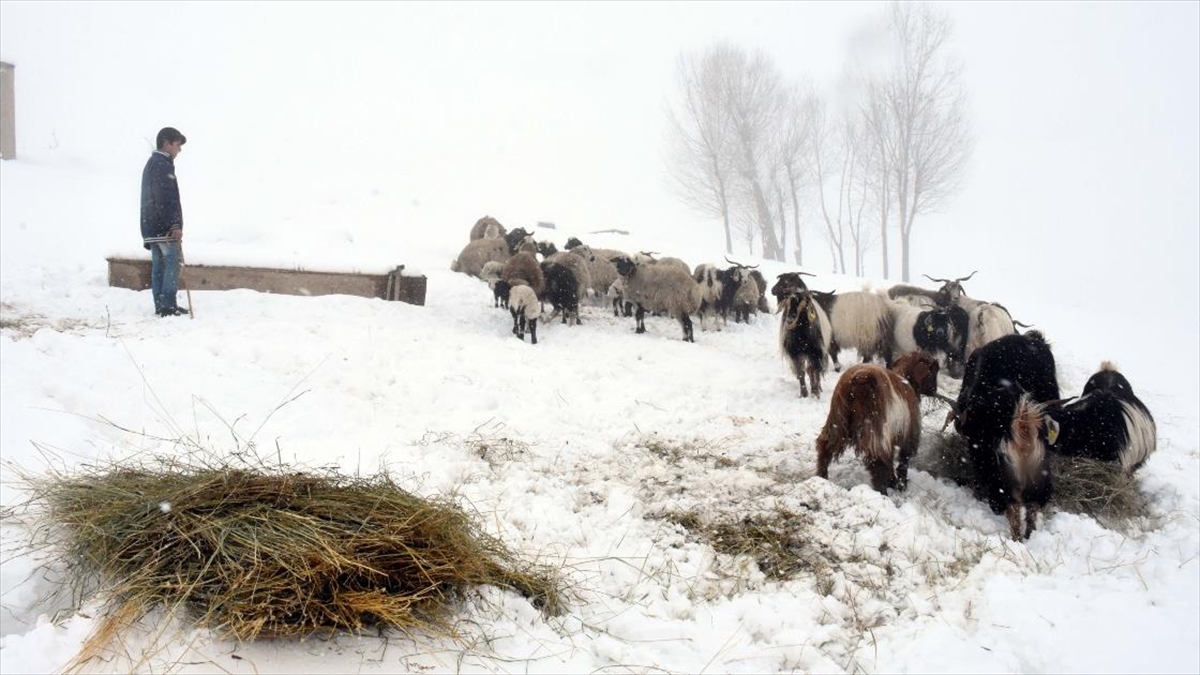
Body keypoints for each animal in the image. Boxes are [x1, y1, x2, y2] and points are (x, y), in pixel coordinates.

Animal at [816, 353, 945, 487]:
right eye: (932, 371)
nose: (934, 390)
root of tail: (859, 378)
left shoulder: (891, 436)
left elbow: (891, 458)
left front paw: (893, 481)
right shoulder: (908, 433)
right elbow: (903, 459)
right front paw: (901, 484)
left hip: (838, 419)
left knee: (825, 446)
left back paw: (821, 476)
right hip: (875, 428)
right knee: (878, 463)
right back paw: (882, 490)